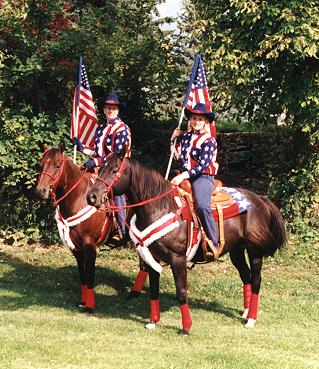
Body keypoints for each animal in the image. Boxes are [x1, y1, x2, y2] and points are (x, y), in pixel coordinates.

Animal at [35, 142, 149, 312]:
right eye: (41, 164)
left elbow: (90, 274)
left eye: (57, 165)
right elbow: (82, 274)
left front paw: (89, 306)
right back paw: (134, 293)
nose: (40, 191)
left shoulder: (90, 245)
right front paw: (83, 301)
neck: (79, 200)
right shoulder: (76, 248)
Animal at [87, 152, 288, 334]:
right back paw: (245, 312)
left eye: (114, 170)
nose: (92, 197)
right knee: (245, 277)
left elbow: (181, 291)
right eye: (101, 168)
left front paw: (186, 327)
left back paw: (251, 319)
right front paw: (153, 321)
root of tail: (259, 198)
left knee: (256, 280)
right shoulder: (152, 257)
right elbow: (154, 289)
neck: (161, 207)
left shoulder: (177, 258)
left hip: (255, 251)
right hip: (236, 251)